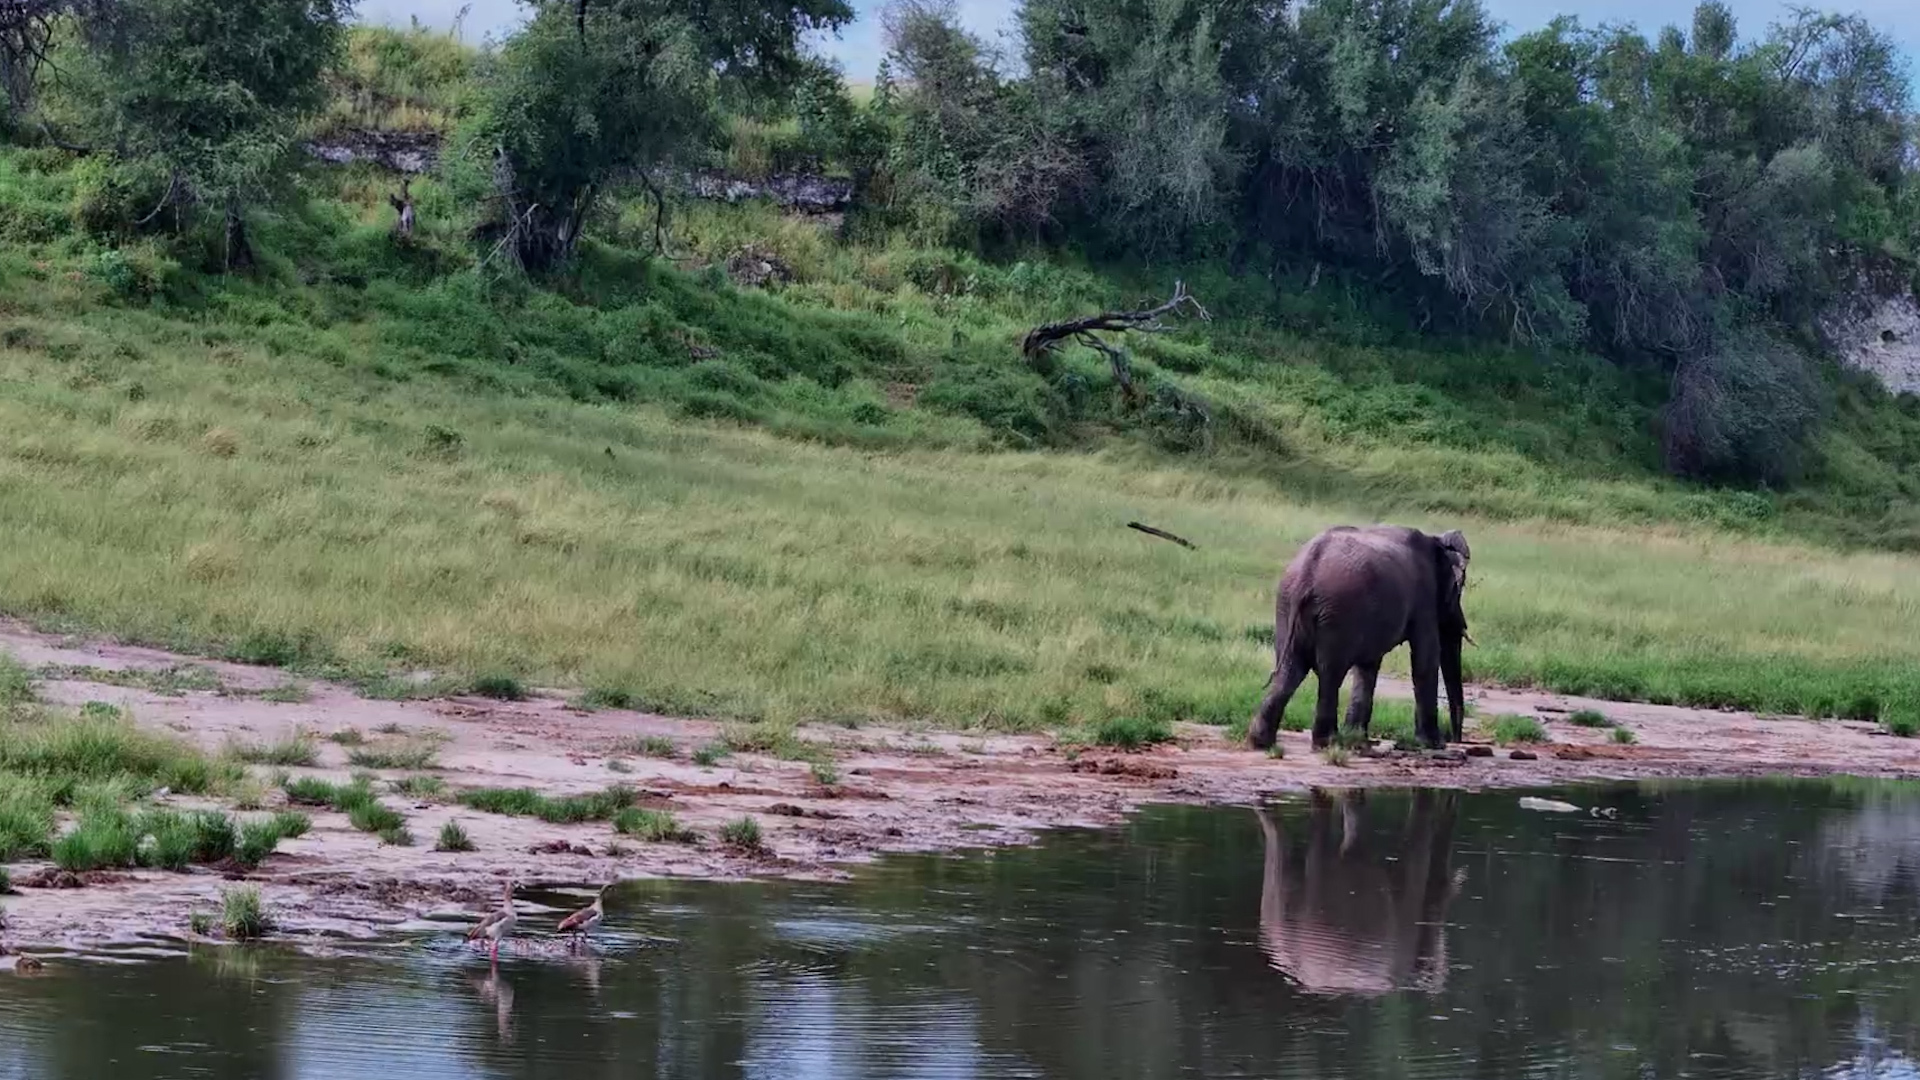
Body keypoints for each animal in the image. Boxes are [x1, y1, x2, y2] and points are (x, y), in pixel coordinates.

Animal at [1246, 525, 1471, 752]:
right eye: (1458, 589)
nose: (1455, 739)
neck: (1436, 540)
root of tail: (1307, 572)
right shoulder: (1424, 599)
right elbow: (1425, 659)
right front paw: (1433, 744)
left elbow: (1368, 665)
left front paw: (1358, 738)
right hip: (1338, 610)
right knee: (1330, 673)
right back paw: (1328, 742)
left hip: (1287, 606)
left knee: (1290, 670)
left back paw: (1261, 743)